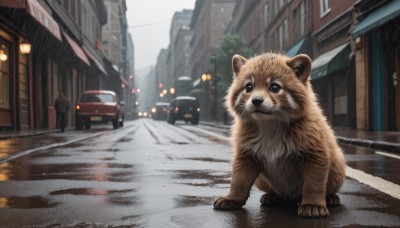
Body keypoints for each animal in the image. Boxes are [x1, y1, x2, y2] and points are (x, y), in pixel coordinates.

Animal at [214, 52, 346, 218]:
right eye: (248, 87)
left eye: (275, 87)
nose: (256, 101)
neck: (271, 124)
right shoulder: (246, 155)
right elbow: (239, 180)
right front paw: (232, 199)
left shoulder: (315, 155)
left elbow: (314, 184)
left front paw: (313, 204)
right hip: (261, 180)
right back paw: (273, 196)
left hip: (337, 167)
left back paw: (329, 198)